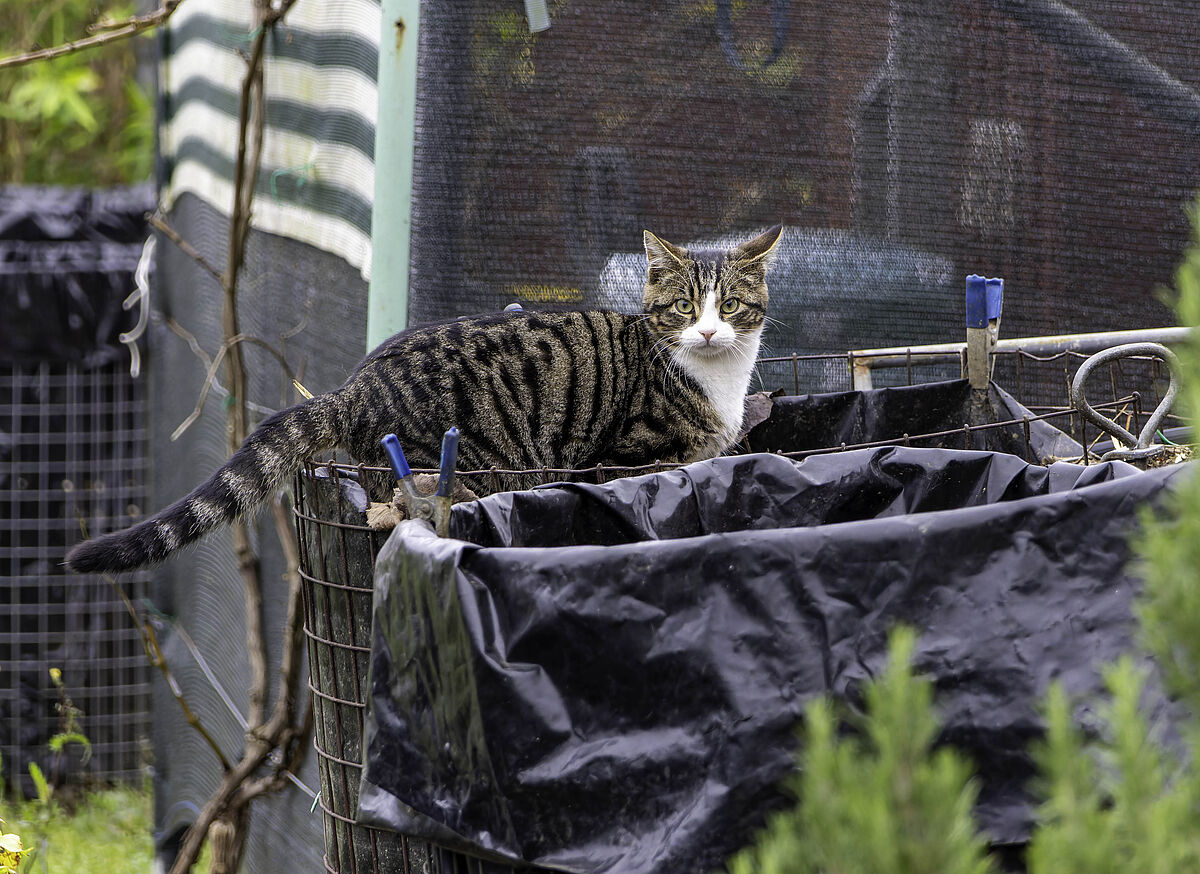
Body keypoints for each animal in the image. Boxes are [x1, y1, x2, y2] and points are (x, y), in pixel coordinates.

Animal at [65, 223, 782, 573]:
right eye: (685, 307)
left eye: (730, 307)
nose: (709, 330)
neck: (715, 379)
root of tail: (353, 387)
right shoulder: (628, 458)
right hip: (465, 465)